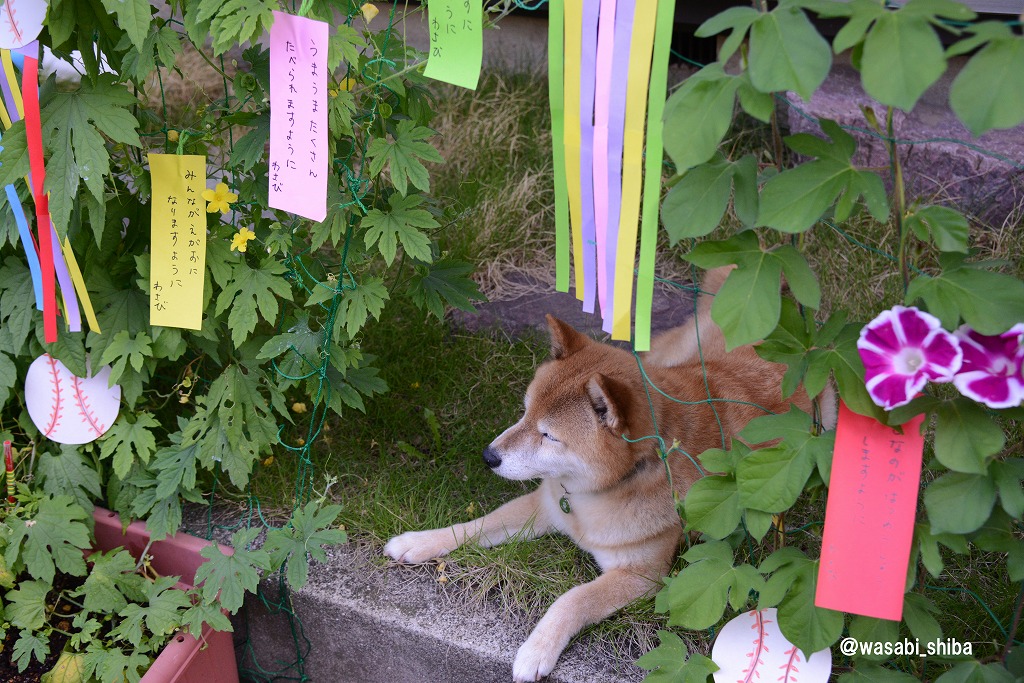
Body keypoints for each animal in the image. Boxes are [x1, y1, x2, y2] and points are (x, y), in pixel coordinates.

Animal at [385, 266, 836, 682]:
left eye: (549, 436)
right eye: (524, 413)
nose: (488, 456)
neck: (596, 496)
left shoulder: (642, 576)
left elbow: (572, 599)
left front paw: (536, 649)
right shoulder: (546, 505)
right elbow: (477, 525)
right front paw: (419, 542)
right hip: (670, 357)